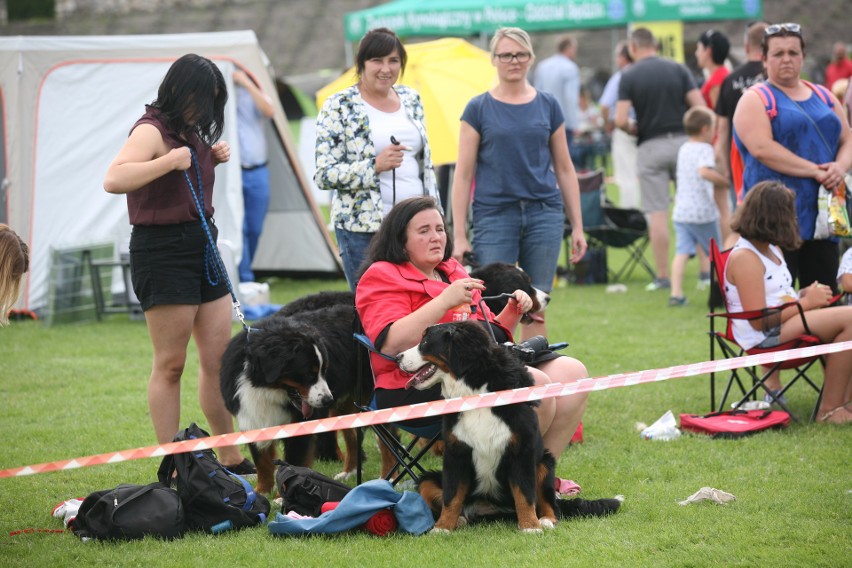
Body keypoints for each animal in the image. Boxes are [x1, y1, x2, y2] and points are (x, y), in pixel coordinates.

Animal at [396, 324, 624, 532]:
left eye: (425, 341)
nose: (397, 357)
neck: (476, 389)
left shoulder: (521, 449)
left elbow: (525, 494)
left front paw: (531, 527)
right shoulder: (456, 451)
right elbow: (451, 496)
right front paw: (442, 528)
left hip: (545, 463)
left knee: (550, 503)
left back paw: (546, 520)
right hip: (428, 479)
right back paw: (460, 520)